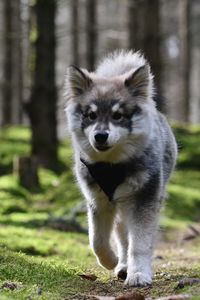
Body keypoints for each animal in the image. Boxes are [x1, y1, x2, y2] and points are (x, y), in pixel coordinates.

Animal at [64, 51, 177, 286]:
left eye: (117, 115)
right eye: (91, 115)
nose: (100, 136)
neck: (111, 165)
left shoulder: (144, 201)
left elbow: (140, 245)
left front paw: (139, 274)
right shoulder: (98, 202)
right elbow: (97, 241)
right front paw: (111, 261)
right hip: (121, 208)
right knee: (123, 238)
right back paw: (122, 265)